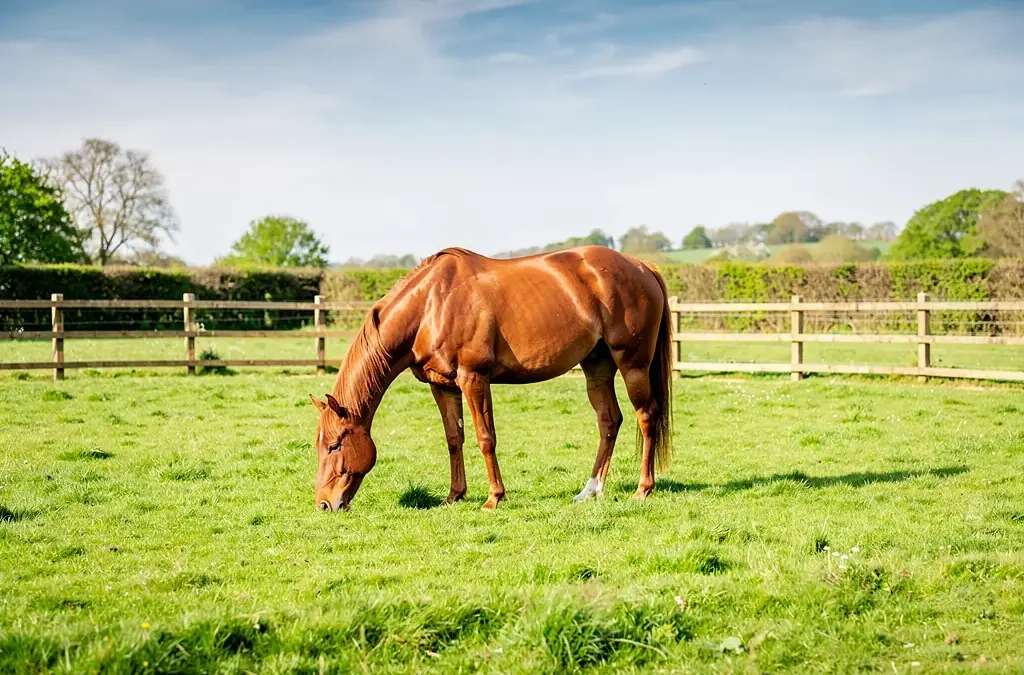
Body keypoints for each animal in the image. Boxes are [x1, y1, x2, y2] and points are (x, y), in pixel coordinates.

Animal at [309, 245, 673, 511]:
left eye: (334, 445)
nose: (325, 504)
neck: (431, 306)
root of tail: (643, 267)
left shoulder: (474, 378)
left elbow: (486, 438)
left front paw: (494, 497)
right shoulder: (442, 386)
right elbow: (454, 439)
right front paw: (454, 495)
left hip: (633, 364)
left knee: (646, 416)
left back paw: (643, 489)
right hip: (597, 366)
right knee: (609, 421)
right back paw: (590, 490)